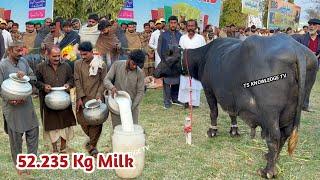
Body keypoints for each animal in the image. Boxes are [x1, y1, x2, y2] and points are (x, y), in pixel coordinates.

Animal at [154, 34, 318, 178]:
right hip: (291, 110)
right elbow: (232, 113)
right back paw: (272, 158)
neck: (205, 57)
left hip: (270, 112)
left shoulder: (209, 90)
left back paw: (268, 171)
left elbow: (214, 112)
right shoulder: (231, 96)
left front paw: (212, 131)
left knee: (275, 137)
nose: (155, 72)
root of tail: (297, 49)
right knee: (285, 134)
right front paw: (234, 130)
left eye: (166, 58)